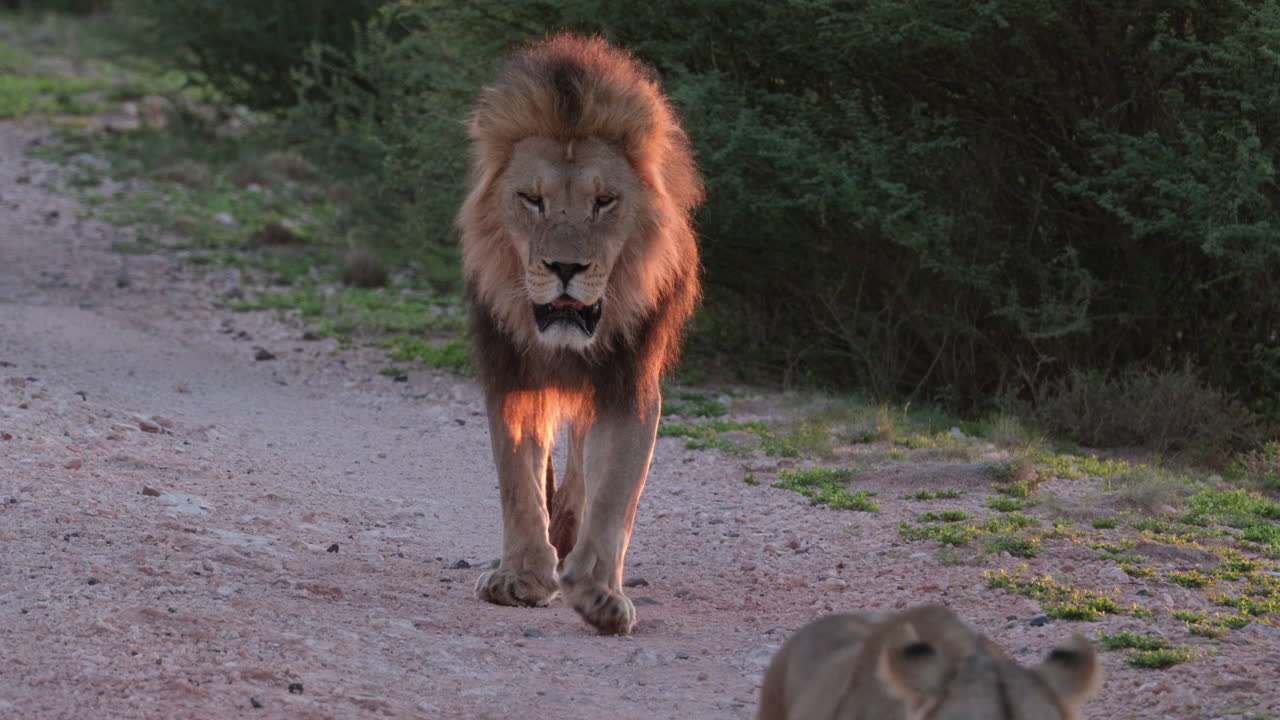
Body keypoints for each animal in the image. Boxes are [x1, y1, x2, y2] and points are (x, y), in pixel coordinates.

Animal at [456, 33, 702, 635]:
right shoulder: (513, 373)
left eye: (604, 201)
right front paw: (519, 578)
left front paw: (598, 593)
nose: (565, 266)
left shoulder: (628, 381)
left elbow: (615, 492)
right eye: (532, 199)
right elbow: (518, 482)